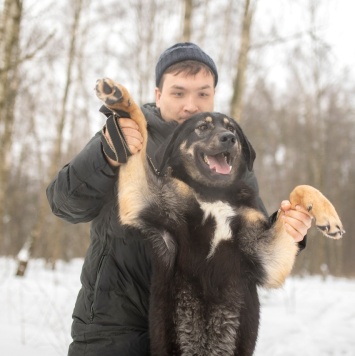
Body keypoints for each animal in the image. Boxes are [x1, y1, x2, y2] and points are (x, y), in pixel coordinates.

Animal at [94, 78, 344, 356]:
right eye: (202, 127)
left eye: (231, 128)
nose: (229, 138)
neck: (213, 194)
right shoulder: (142, 200)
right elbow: (138, 131)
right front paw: (120, 99)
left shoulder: (267, 257)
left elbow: (301, 188)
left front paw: (325, 215)